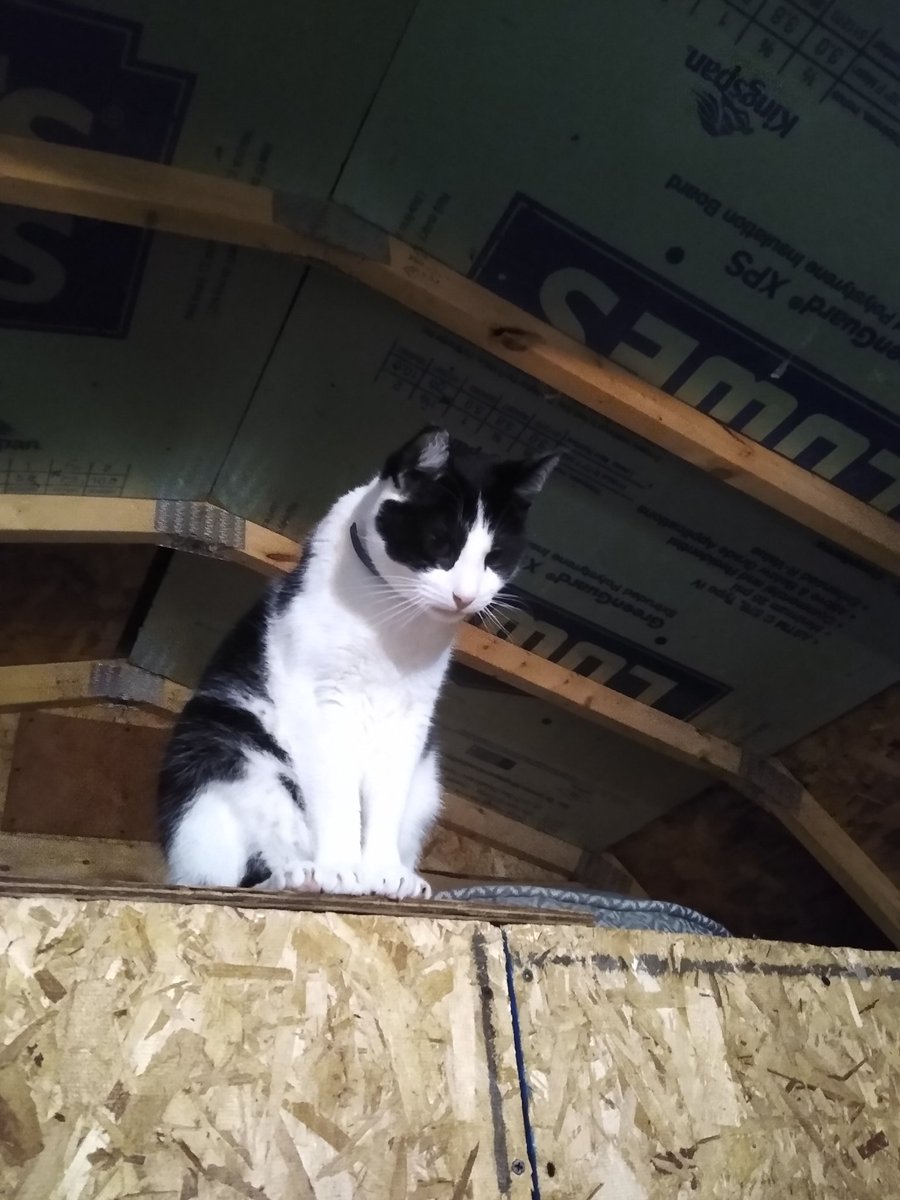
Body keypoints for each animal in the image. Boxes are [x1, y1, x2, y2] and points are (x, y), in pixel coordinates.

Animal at [157, 425, 558, 900]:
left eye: (494, 558)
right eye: (439, 543)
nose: (465, 596)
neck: (392, 618)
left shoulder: (410, 717)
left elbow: (384, 802)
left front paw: (384, 872)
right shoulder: (327, 703)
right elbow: (339, 798)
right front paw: (340, 868)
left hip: (425, 784)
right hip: (226, 751)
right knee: (227, 877)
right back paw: (299, 876)